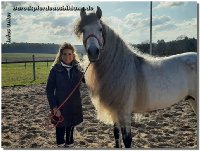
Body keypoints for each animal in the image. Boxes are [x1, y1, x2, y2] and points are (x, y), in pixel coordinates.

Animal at [74, 6, 198, 148]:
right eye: (83, 30)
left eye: (100, 29)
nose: (93, 52)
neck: (119, 68)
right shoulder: (115, 111)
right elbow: (116, 136)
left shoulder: (124, 113)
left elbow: (127, 140)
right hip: (193, 100)